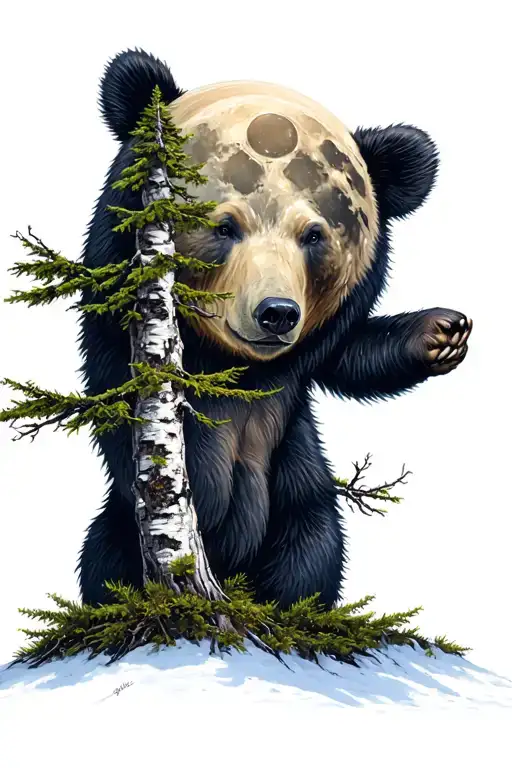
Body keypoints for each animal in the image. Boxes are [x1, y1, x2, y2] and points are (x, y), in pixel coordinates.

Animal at [77, 49, 472, 610]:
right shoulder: (118, 335)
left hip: (297, 491)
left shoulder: (296, 378)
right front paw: (195, 482)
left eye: (314, 235)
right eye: (222, 226)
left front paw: (441, 332)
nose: (277, 312)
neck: (234, 368)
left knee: (312, 554)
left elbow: (349, 357)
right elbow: (128, 396)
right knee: (108, 559)